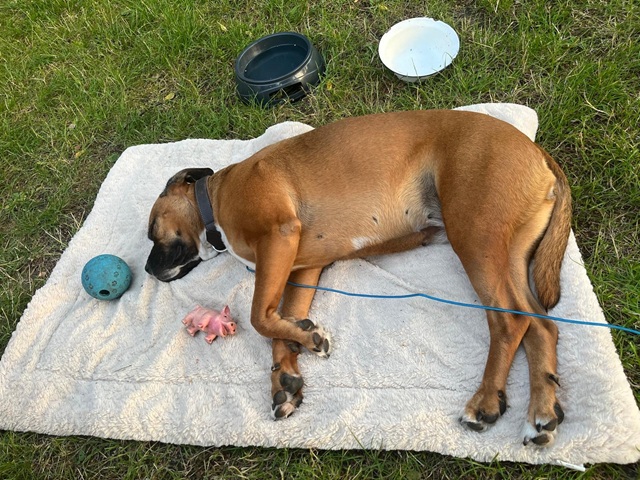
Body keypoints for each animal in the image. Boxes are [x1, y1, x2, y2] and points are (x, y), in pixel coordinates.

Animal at [145, 110, 571, 446]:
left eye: (152, 231)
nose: (148, 270)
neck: (214, 200)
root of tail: (535, 151)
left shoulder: (279, 237)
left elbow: (259, 317)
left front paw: (309, 342)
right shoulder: (301, 268)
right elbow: (280, 324)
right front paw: (287, 374)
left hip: (474, 237)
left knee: (509, 320)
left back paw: (485, 403)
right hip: (507, 254)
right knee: (540, 325)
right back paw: (542, 413)